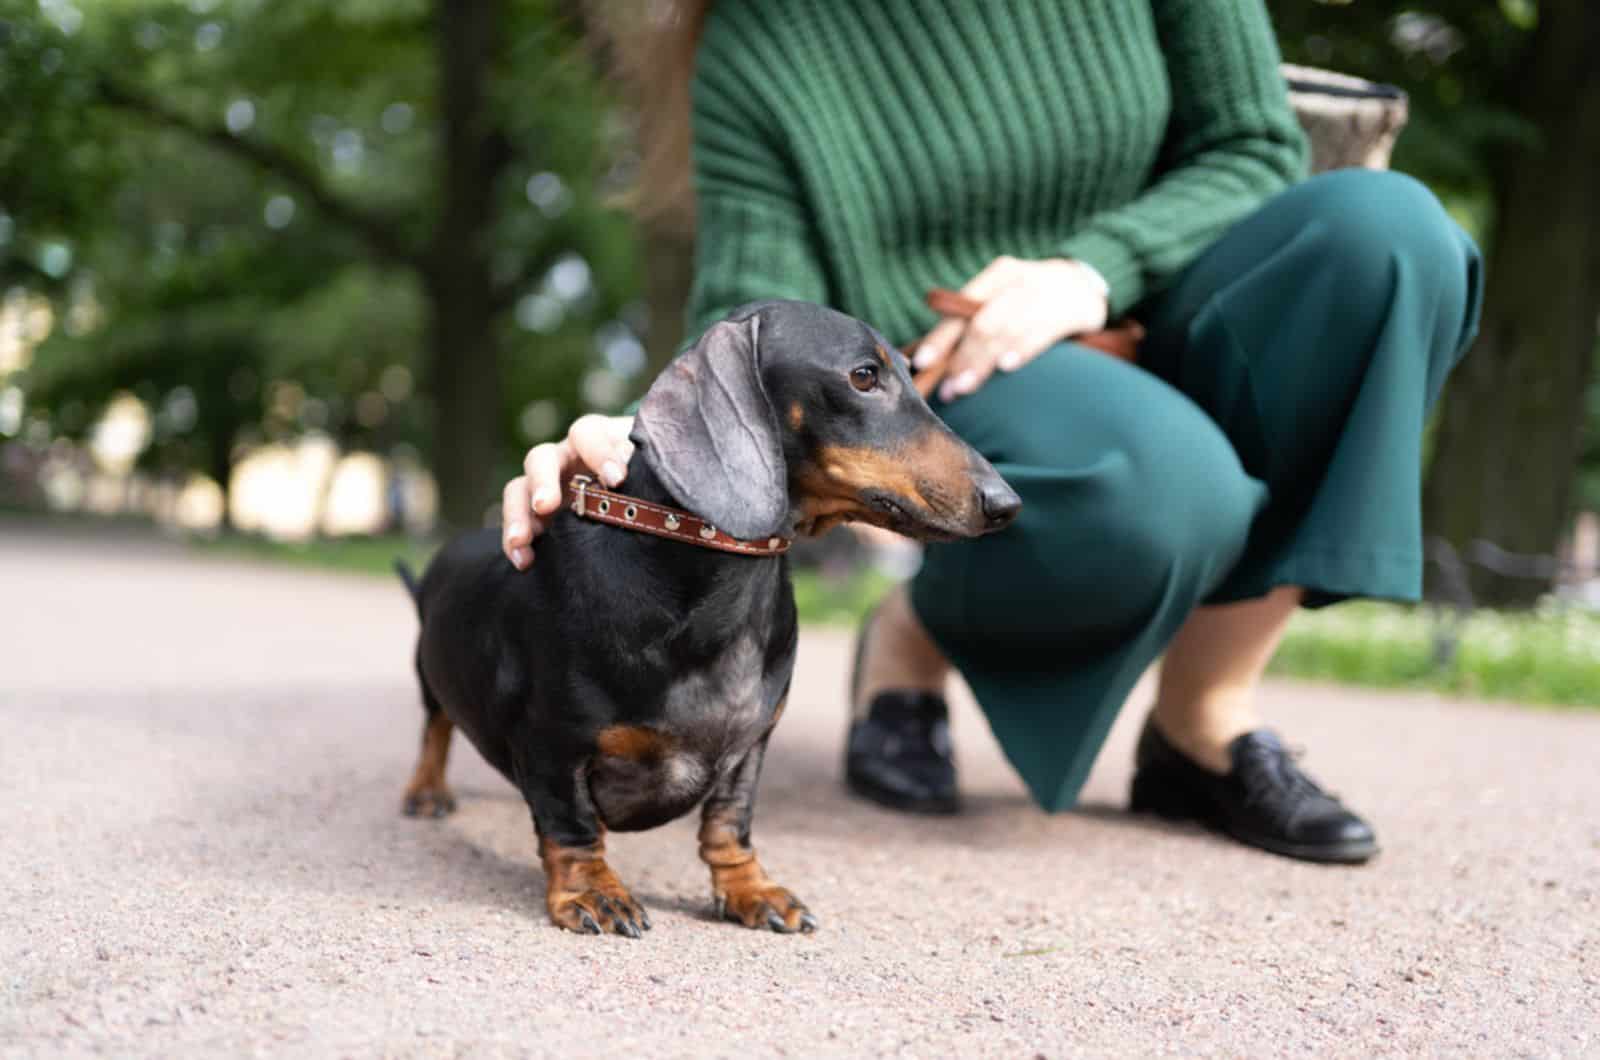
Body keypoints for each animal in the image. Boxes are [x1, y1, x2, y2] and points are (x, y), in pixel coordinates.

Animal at [400, 299, 1024, 941]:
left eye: (915, 371)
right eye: (864, 376)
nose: (1006, 503)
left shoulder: (750, 745)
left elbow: (729, 822)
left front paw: (751, 890)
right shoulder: (553, 744)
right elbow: (572, 827)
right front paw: (593, 892)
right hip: (427, 673)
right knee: (434, 728)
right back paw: (427, 793)